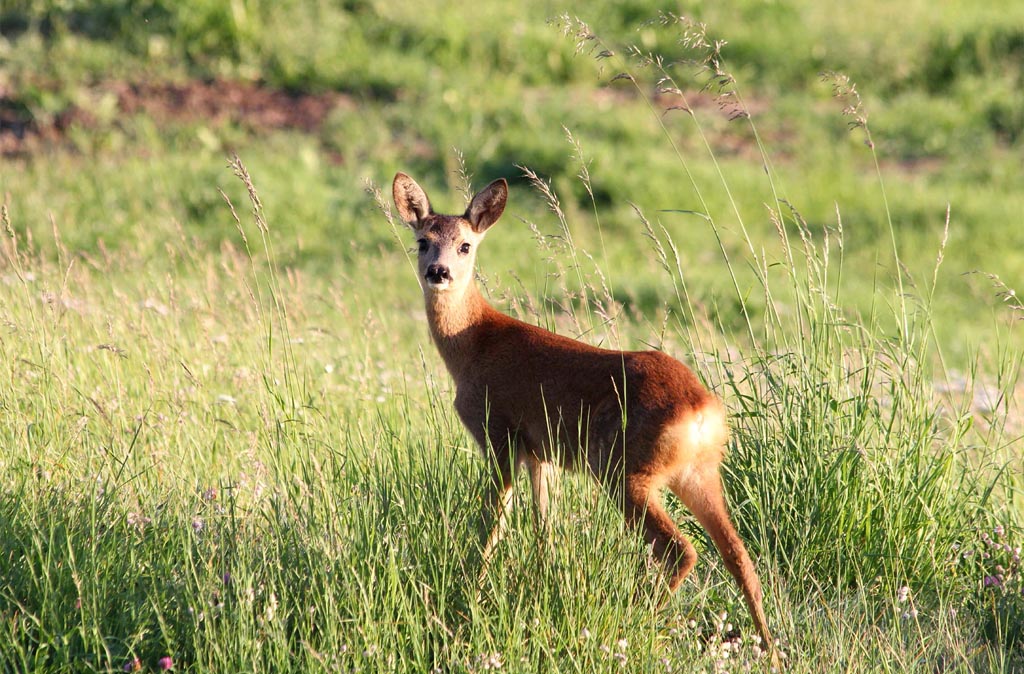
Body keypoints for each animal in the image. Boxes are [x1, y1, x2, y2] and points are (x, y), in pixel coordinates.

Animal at [392, 172, 775, 655]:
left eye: (465, 245)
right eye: (422, 241)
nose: (437, 272)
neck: (474, 342)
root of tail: (702, 410)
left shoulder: (499, 433)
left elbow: (493, 523)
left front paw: (471, 589)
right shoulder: (541, 453)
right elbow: (544, 526)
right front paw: (540, 582)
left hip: (624, 469)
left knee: (680, 549)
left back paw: (636, 617)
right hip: (698, 473)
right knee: (738, 553)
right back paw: (770, 645)